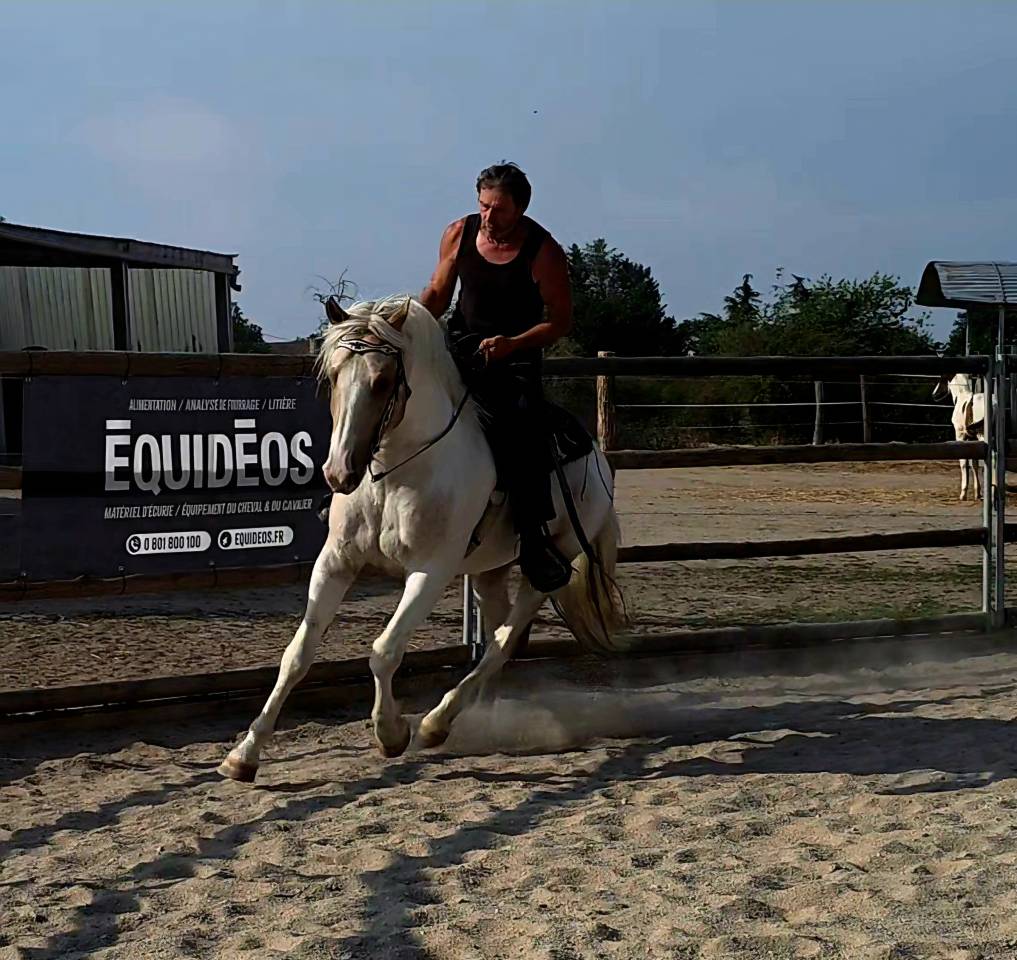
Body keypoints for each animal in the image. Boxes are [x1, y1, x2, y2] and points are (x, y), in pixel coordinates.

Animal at [219, 295, 628, 781]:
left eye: (382, 380)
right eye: (333, 376)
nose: (339, 473)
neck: (395, 473)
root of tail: (598, 458)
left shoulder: (431, 571)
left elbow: (384, 651)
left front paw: (391, 733)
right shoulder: (335, 562)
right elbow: (297, 655)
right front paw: (244, 753)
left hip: (550, 563)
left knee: (505, 638)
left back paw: (435, 723)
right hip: (490, 571)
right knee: (499, 636)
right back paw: (475, 715)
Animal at [932, 372, 987, 501]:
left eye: (941, 378)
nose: (934, 394)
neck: (962, 397)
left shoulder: (960, 435)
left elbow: (963, 463)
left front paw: (963, 494)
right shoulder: (972, 439)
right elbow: (974, 464)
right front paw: (977, 493)